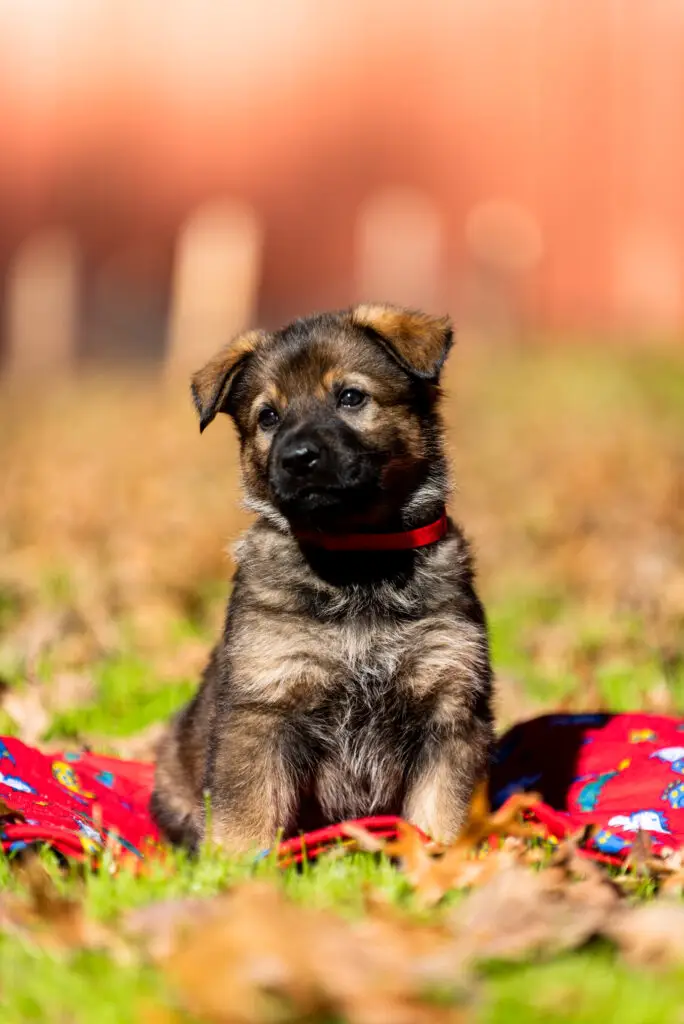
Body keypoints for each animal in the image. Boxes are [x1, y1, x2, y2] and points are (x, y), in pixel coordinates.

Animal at [150, 307, 491, 851]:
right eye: (268, 416)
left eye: (350, 396)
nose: (298, 457)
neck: (357, 561)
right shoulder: (262, 707)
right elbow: (245, 815)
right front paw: (233, 868)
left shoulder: (452, 708)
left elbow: (442, 813)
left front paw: (442, 861)